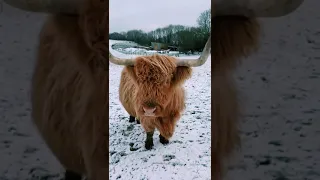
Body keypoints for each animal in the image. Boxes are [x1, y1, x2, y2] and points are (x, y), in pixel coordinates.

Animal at [1, 0, 302, 180]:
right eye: (141, 81)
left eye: (168, 80)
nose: (147, 106)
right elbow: (147, 131)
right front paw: (148, 142)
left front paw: (165, 140)